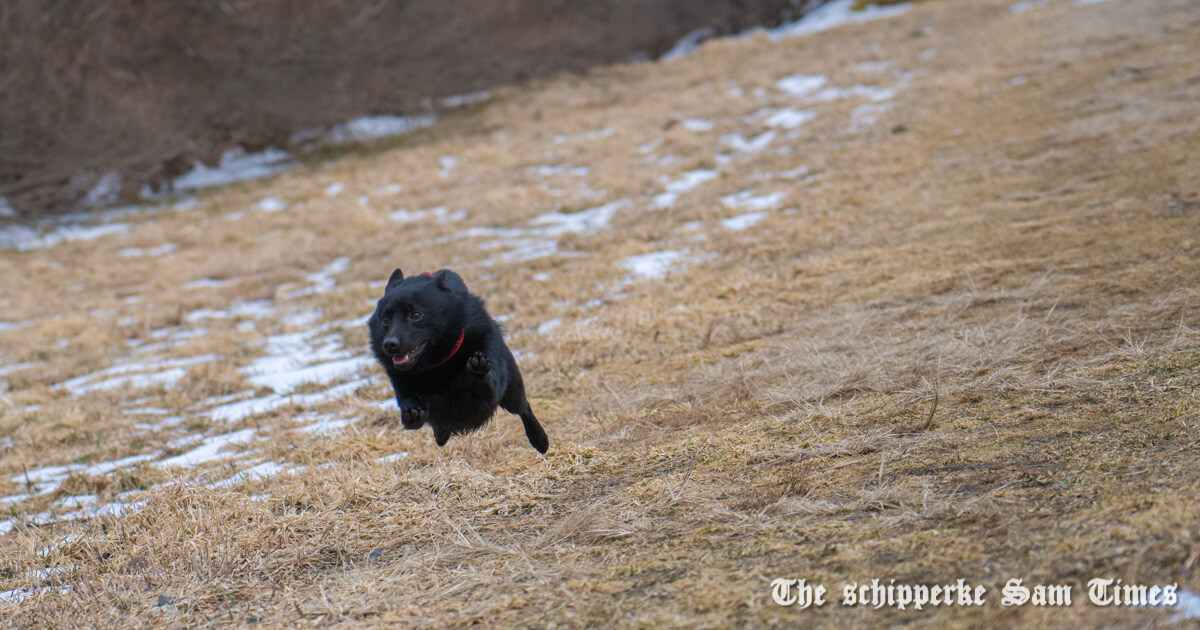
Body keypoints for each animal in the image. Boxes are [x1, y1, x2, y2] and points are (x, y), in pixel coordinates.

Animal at [367, 268, 549, 451]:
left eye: (416, 315)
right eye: (385, 320)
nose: (389, 344)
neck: (438, 365)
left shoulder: (488, 394)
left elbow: (487, 385)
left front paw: (478, 366)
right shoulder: (402, 384)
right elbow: (410, 403)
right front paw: (412, 412)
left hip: (512, 392)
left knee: (523, 408)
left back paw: (540, 440)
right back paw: (440, 434)